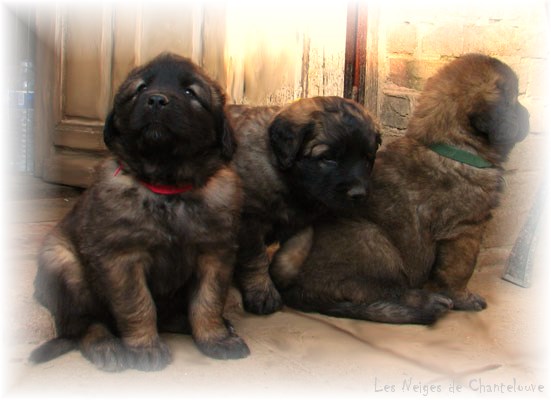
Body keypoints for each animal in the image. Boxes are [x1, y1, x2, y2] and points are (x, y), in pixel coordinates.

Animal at [28, 53, 248, 372]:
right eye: (141, 88)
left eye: (190, 92)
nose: (156, 100)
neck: (167, 187)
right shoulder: (123, 257)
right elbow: (138, 305)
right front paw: (145, 347)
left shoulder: (214, 253)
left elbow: (207, 302)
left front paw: (215, 338)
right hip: (62, 263)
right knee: (84, 324)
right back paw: (106, 346)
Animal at [226, 97, 382, 316]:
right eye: (328, 158)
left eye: (368, 158)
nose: (359, 194)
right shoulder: (248, 220)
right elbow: (255, 259)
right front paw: (263, 294)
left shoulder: (303, 220)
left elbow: (300, 246)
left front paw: (281, 273)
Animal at [272, 54, 532, 324]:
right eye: (513, 100)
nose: (528, 116)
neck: (453, 148)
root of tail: (294, 290)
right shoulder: (465, 229)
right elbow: (459, 271)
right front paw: (466, 299)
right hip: (374, 240)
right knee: (376, 290)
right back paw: (428, 303)